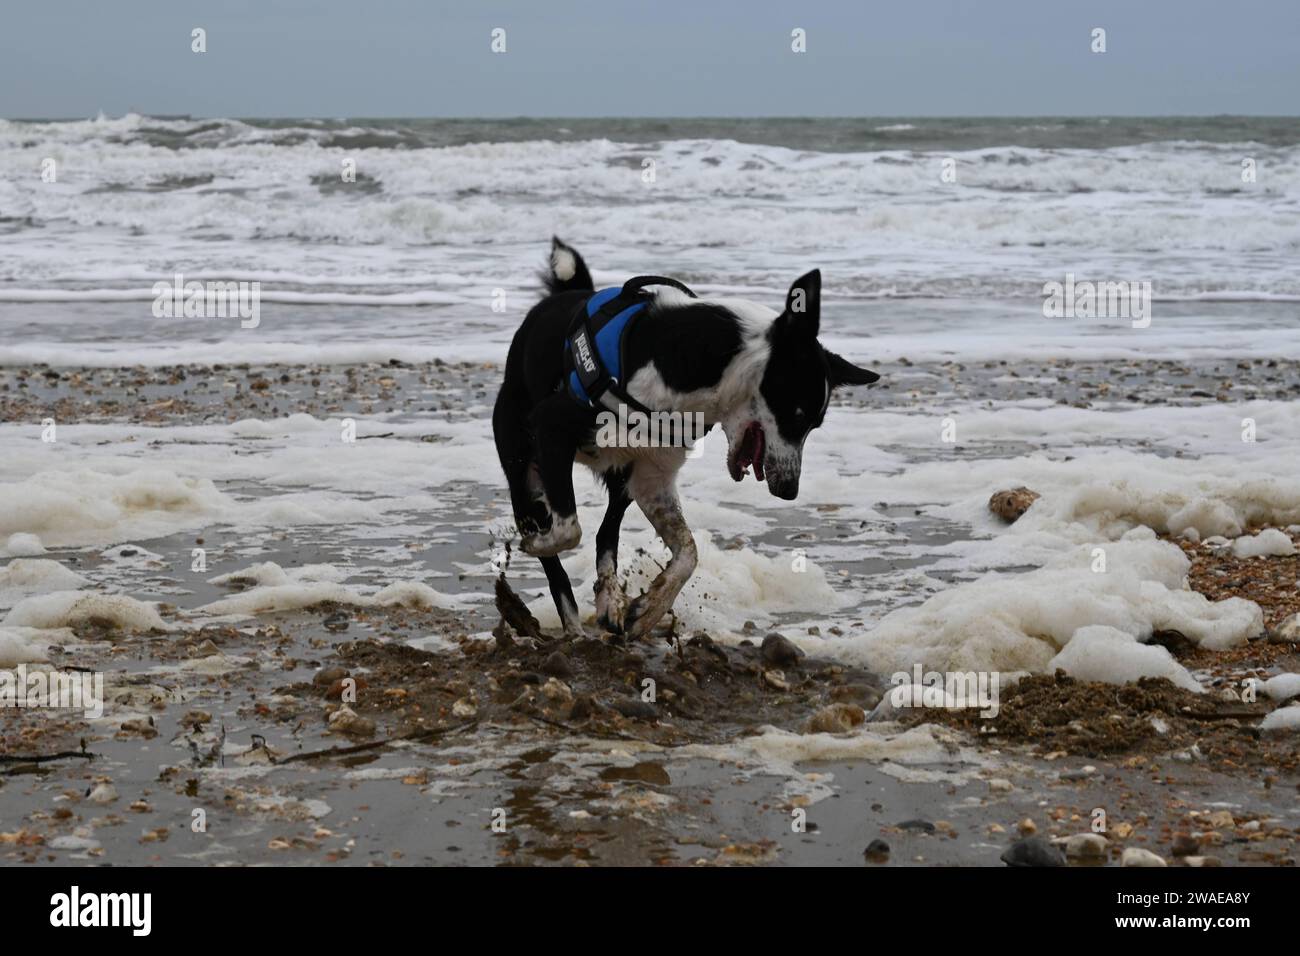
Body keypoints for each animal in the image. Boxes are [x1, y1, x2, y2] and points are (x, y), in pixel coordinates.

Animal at [491, 239, 878, 642]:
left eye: (814, 424)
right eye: (798, 414)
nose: (788, 490)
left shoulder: (652, 477)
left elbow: (688, 551)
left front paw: (650, 609)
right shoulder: (551, 426)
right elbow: (567, 530)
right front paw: (539, 541)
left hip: (622, 480)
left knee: (606, 535)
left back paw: (609, 600)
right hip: (521, 461)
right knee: (553, 543)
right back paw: (571, 625)